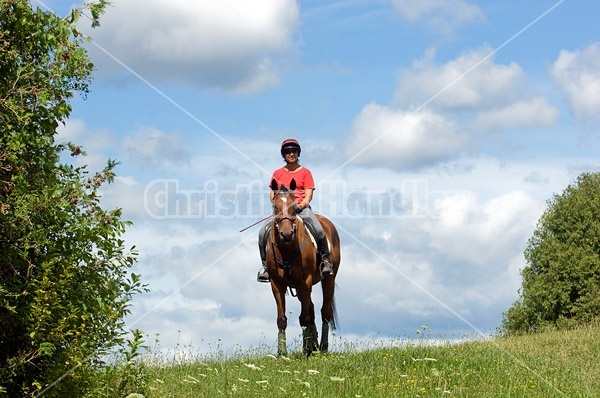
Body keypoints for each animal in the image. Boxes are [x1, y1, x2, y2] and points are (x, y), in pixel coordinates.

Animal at [264, 179, 340, 356]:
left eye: (294, 206)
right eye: (275, 206)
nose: (286, 234)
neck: (286, 249)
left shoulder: (305, 282)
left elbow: (304, 318)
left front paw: (306, 351)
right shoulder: (277, 284)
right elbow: (282, 319)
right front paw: (282, 353)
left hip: (328, 279)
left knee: (324, 312)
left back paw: (322, 347)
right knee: (311, 310)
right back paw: (314, 346)